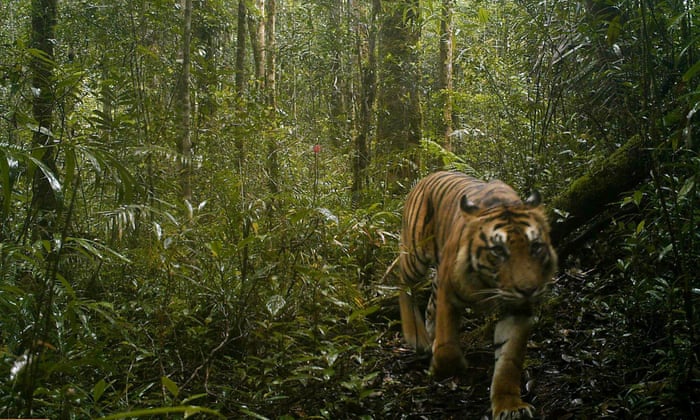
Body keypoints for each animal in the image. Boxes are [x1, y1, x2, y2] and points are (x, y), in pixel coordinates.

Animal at [398, 171, 557, 419]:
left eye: (535, 246)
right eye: (498, 250)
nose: (528, 290)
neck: (488, 283)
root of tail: (425, 178)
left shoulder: (518, 310)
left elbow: (509, 360)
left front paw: (510, 406)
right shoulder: (449, 294)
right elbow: (447, 346)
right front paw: (443, 366)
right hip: (415, 253)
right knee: (401, 280)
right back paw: (417, 338)